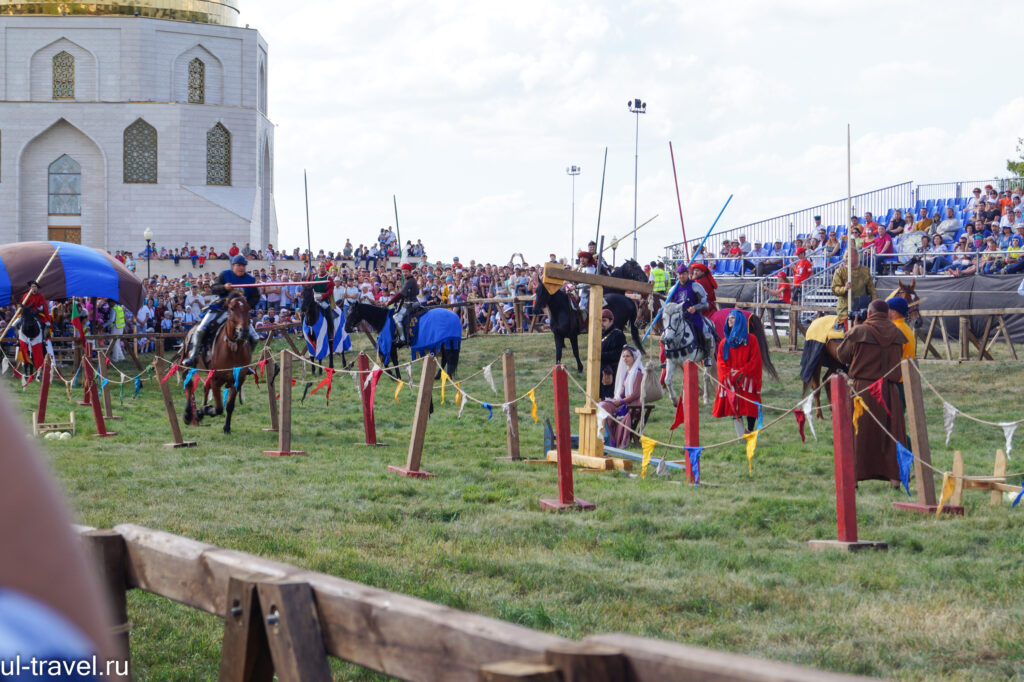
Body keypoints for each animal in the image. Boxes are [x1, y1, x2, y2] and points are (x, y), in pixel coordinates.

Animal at [181, 290, 252, 430]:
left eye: (248, 308)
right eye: (232, 308)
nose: (244, 331)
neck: (233, 351)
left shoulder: (238, 380)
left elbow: (229, 406)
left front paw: (226, 427)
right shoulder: (216, 380)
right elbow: (219, 408)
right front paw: (203, 411)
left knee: (204, 387)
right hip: (186, 365)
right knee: (188, 384)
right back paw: (188, 414)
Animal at [798, 274, 921, 417]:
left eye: (917, 298)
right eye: (906, 298)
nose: (918, 321)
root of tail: (815, 321)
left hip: (835, 360)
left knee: (826, 380)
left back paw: (833, 409)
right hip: (817, 360)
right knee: (815, 384)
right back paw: (819, 414)